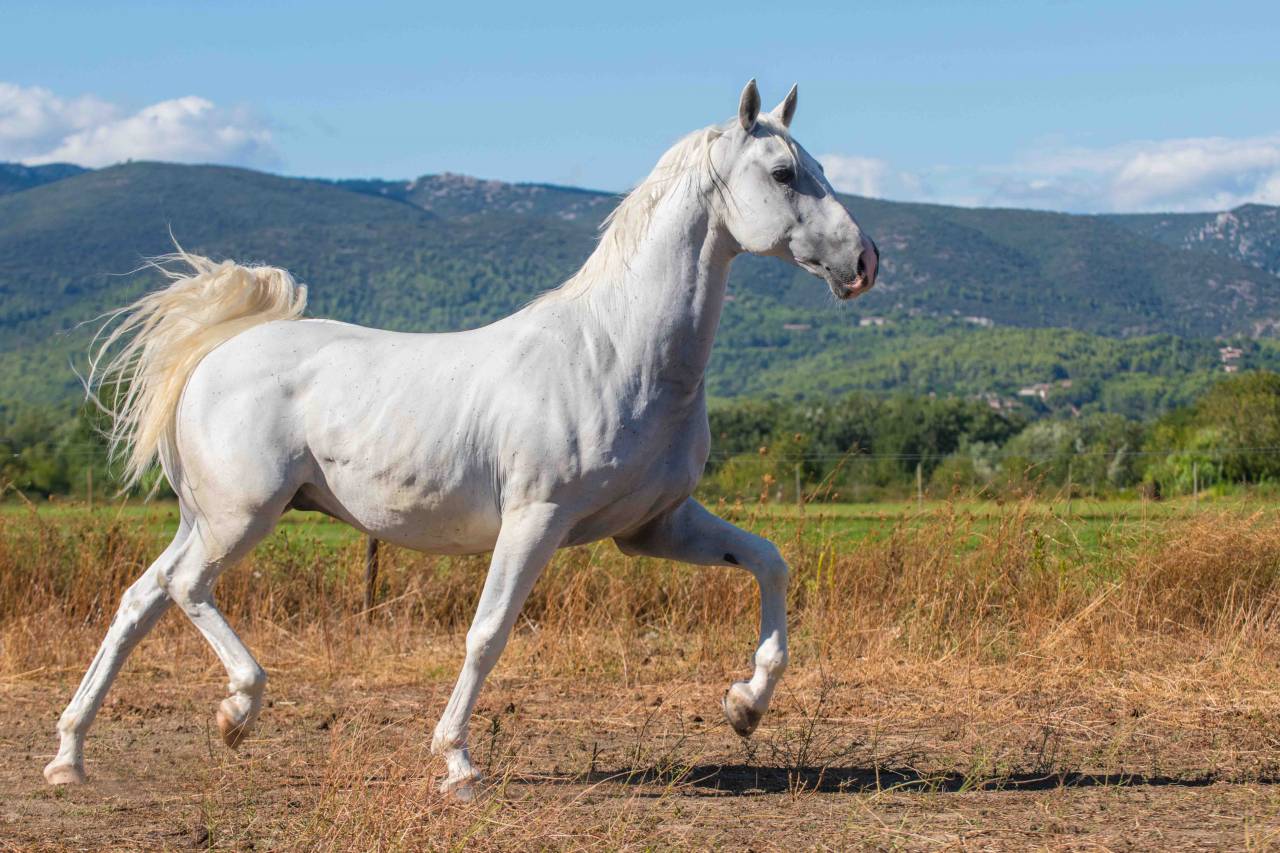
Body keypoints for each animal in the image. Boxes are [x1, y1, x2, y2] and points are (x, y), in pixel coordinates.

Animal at [44, 79, 878, 798]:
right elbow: (488, 632)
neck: (617, 351)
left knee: (140, 599)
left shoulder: (654, 526)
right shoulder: (537, 518)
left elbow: (770, 562)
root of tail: (217, 351)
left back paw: (69, 757)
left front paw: (745, 704)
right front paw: (457, 763)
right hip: (241, 517)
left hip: (208, 518)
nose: (865, 260)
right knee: (185, 589)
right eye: (784, 172)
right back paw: (235, 712)